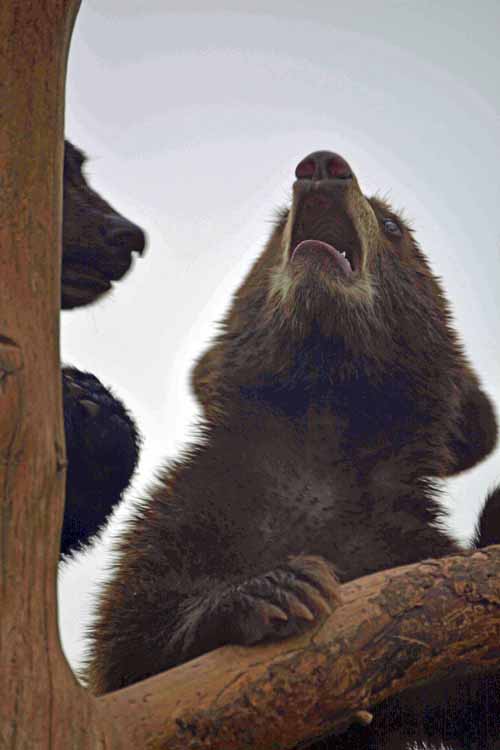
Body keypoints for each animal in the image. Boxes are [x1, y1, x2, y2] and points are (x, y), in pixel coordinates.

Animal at [85, 150, 498, 748]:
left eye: (392, 225)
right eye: (278, 223)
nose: (323, 164)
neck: (321, 421)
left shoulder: (403, 547)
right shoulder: (185, 514)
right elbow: (129, 646)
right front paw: (274, 589)